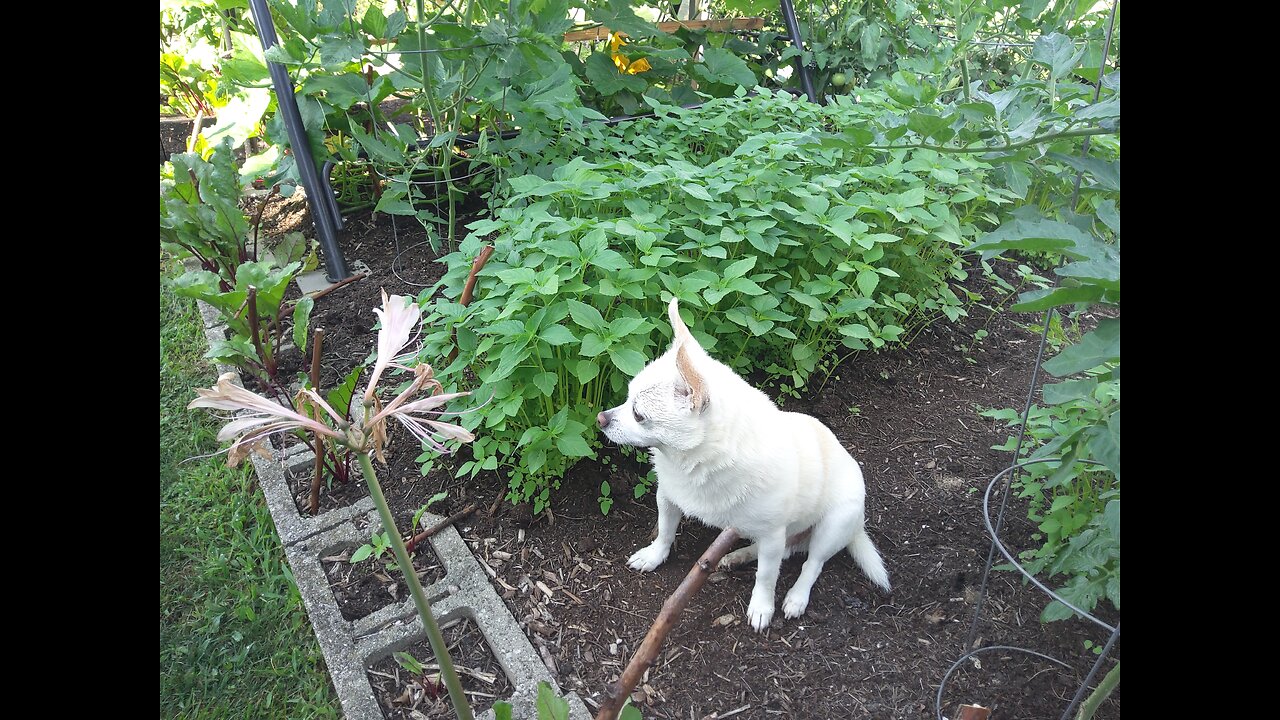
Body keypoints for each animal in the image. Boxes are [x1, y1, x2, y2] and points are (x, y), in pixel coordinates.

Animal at [593, 297, 885, 627]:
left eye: (638, 414)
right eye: (626, 398)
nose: (601, 418)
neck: (691, 464)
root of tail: (858, 525)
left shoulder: (773, 534)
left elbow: (767, 577)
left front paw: (762, 607)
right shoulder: (667, 498)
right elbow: (666, 530)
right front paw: (654, 555)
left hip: (834, 524)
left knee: (812, 564)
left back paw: (796, 597)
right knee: (785, 552)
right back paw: (737, 556)